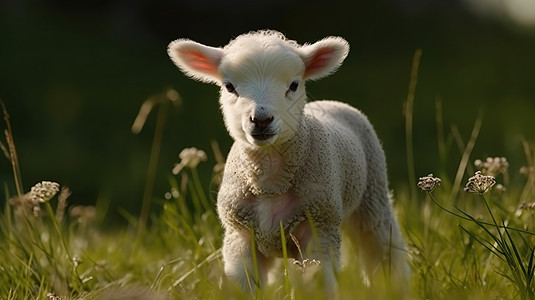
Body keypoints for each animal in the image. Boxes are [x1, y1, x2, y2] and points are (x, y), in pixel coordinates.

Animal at [168, 29, 410, 292]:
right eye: (229, 86)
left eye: (294, 85)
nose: (261, 119)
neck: (271, 179)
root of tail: (327, 102)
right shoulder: (240, 237)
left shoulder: (319, 229)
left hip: (372, 197)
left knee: (382, 248)